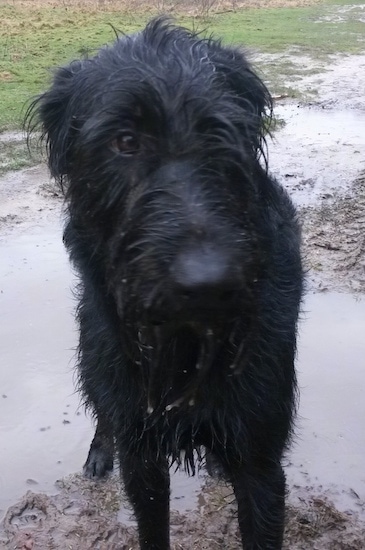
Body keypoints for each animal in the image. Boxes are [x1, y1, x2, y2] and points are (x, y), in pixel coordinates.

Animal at [27, 18, 302, 550]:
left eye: (224, 133)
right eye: (125, 141)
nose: (209, 286)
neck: (184, 348)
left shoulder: (261, 460)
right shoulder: (143, 456)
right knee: (102, 408)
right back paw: (99, 451)